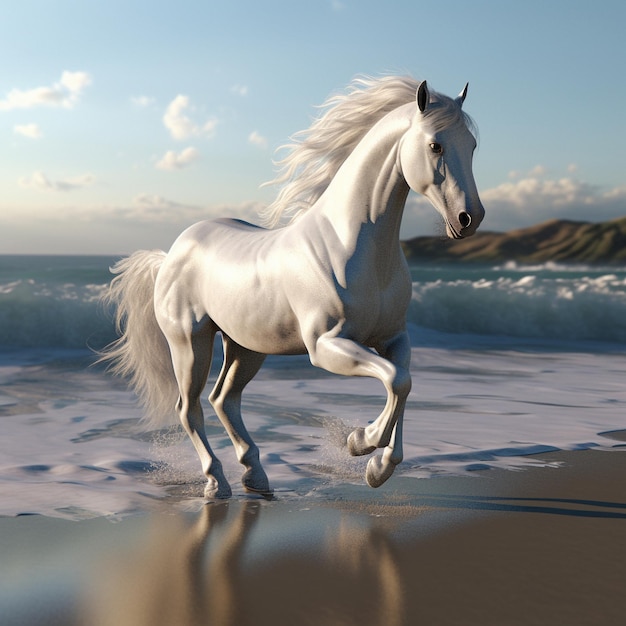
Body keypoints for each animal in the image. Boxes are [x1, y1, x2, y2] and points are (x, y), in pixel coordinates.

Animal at [101, 75, 482, 498]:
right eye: (435, 145)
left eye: (472, 146)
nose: (469, 218)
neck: (353, 244)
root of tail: (170, 253)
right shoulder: (325, 345)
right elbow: (396, 380)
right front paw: (361, 442)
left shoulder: (394, 339)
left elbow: (403, 383)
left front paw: (377, 467)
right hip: (189, 342)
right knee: (190, 409)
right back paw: (217, 482)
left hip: (246, 347)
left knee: (224, 399)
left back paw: (256, 475)